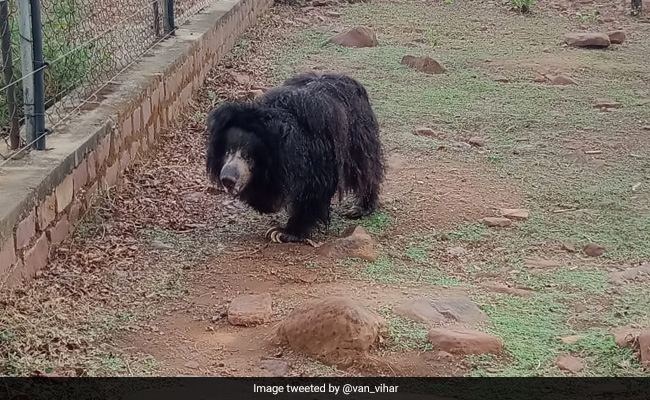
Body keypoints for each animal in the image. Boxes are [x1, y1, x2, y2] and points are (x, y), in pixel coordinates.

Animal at [205, 72, 385, 245]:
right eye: (227, 151)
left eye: (249, 157)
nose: (227, 179)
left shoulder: (316, 153)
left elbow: (313, 190)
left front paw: (283, 233)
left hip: (356, 136)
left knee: (364, 169)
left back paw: (361, 207)